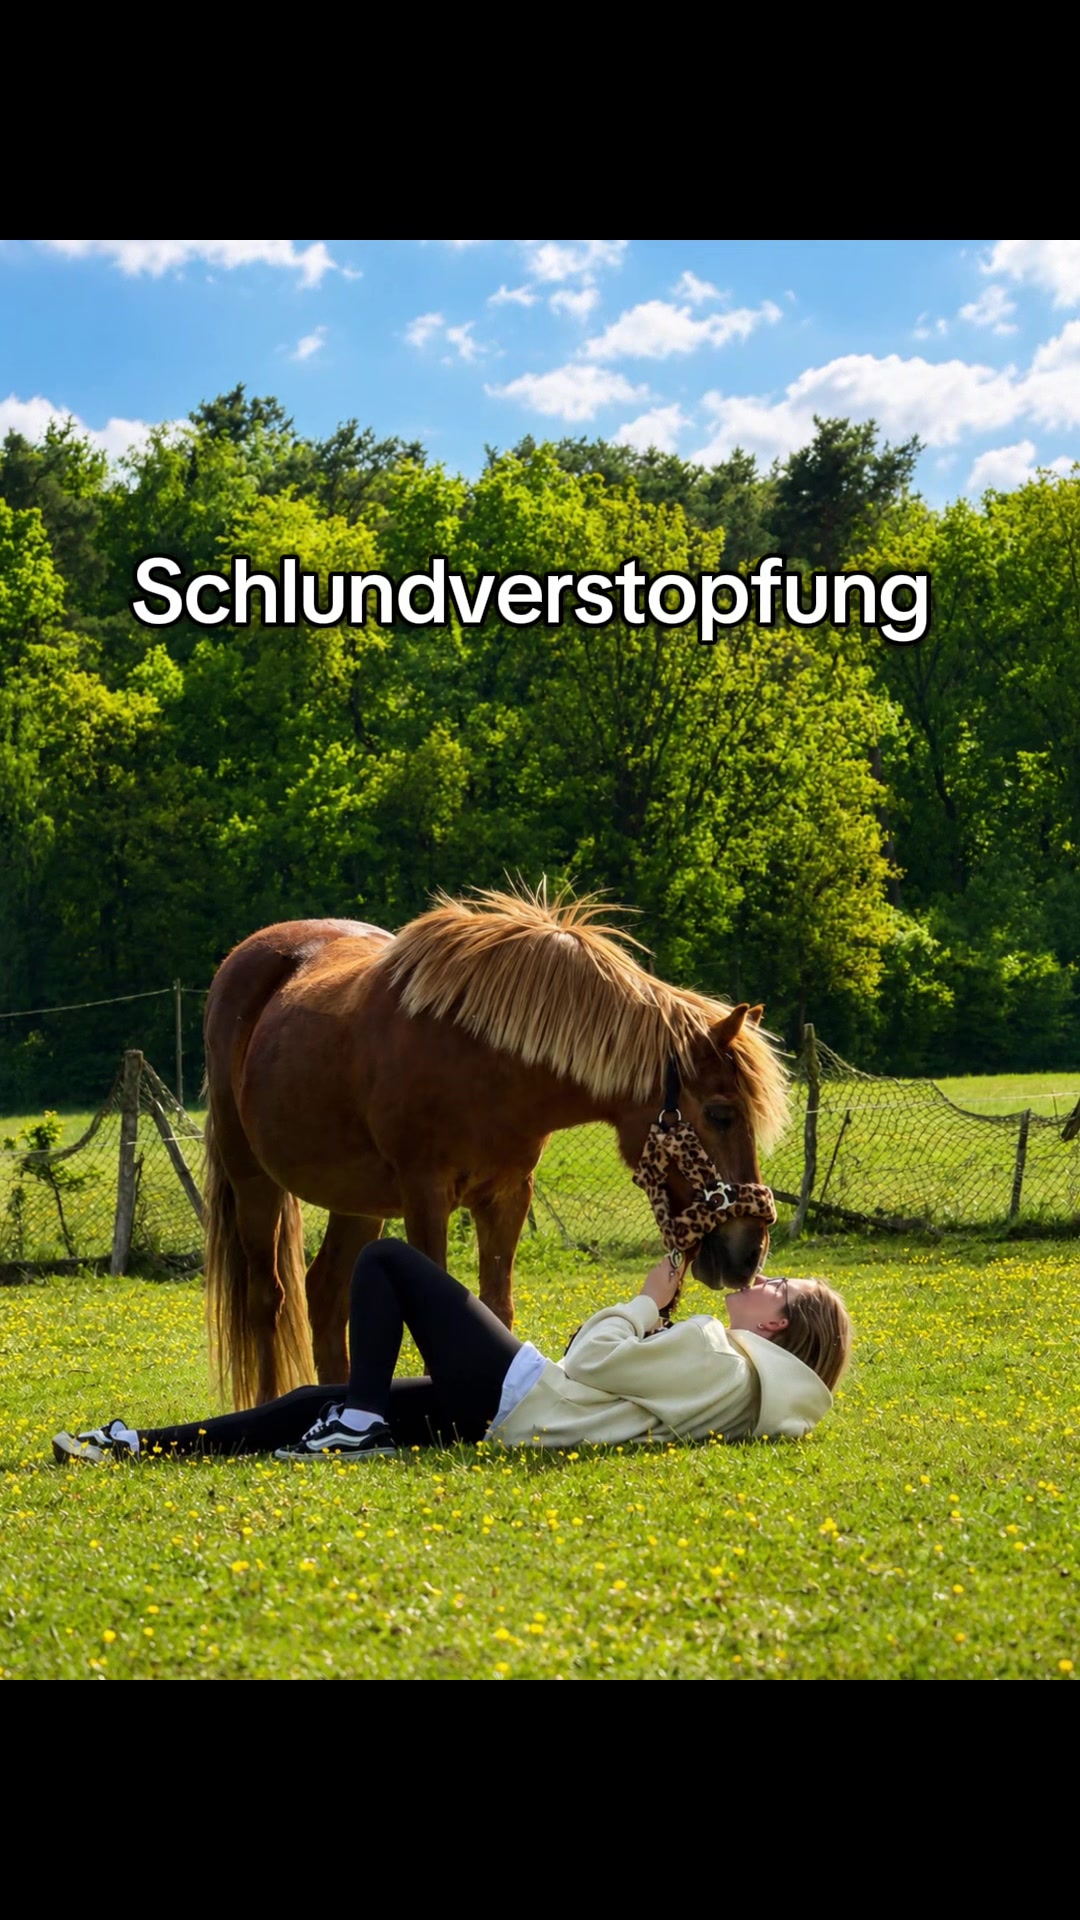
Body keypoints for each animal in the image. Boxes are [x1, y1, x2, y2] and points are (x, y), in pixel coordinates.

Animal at [202, 886, 789, 1407]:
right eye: (721, 1113)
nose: (748, 1252)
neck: (487, 1060)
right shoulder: (425, 1195)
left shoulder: (507, 1196)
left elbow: (496, 1304)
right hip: (252, 1180)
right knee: (268, 1298)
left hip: (359, 1203)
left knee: (324, 1296)